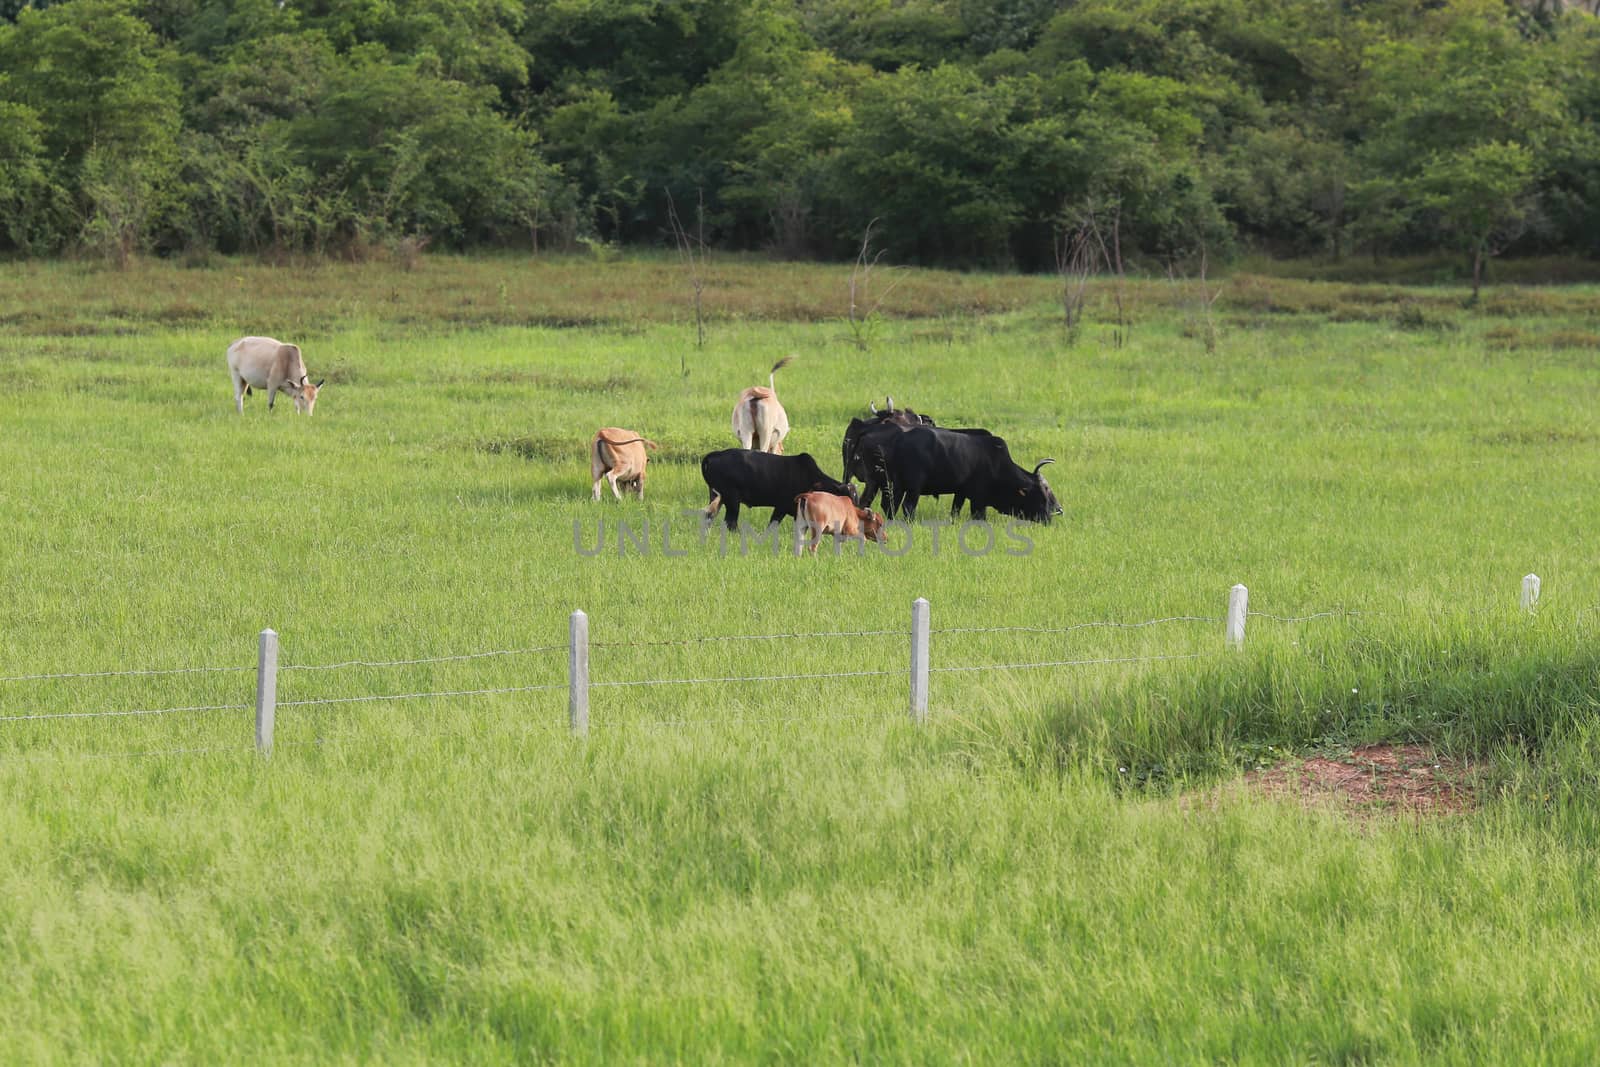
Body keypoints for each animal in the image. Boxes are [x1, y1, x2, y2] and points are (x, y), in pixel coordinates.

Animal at [697, 447, 857, 531]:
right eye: (849, 497)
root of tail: (713, 455)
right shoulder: (782, 506)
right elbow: (772, 525)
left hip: (717, 497)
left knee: (709, 517)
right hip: (732, 500)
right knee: (730, 522)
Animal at [864, 428, 1062, 524]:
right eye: (1041, 494)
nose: (1053, 515)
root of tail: (899, 440)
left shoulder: (960, 493)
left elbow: (955, 511)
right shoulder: (978, 499)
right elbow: (979, 516)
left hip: (895, 486)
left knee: (890, 506)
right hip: (913, 488)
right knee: (908, 507)